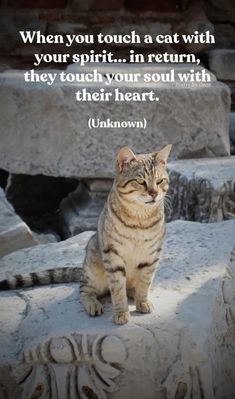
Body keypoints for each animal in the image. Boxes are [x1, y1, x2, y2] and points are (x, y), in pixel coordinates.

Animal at [0, 145, 173, 326]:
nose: (154, 194)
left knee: (130, 286)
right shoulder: (112, 255)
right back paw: (93, 304)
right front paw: (121, 312)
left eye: (160, 181)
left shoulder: (152, 255)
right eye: (140, 182)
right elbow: (117, 289)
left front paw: (142, 301)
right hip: (94, 271)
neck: (140, 219)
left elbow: (145, 282)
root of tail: (82, 269)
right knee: (84, 289)